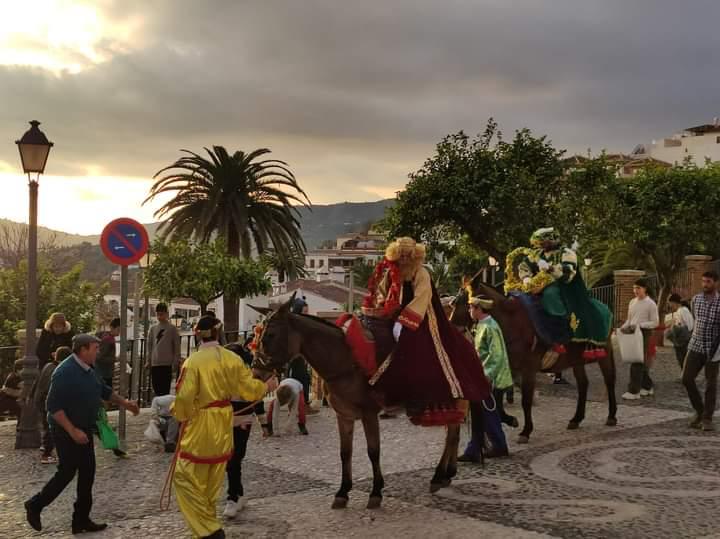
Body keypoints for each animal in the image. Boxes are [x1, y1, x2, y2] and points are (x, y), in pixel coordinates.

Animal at [253, 296, 464, 510]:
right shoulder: (344, 415)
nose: (256, 372)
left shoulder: (369, 414)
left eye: (270, 334)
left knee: (452, 434)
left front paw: (376, 492)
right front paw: (343, 492)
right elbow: (345, 452)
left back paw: (439, 475)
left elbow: (373, 451)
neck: (346, 361)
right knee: (452, 433)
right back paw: (447, 474)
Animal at [452, 282, 616, 442]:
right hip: (577, 360)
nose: (452, 329)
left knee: (609, 380)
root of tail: (605, 308)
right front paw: (511, 420)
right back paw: (576, 419)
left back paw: (611, 416)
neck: (513, 323)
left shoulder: (528, 370)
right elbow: (497, 398)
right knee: (583, 384)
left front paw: (525, 431)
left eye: (465, 303)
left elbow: (526, 400)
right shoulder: (509, 368)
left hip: (604, 353)